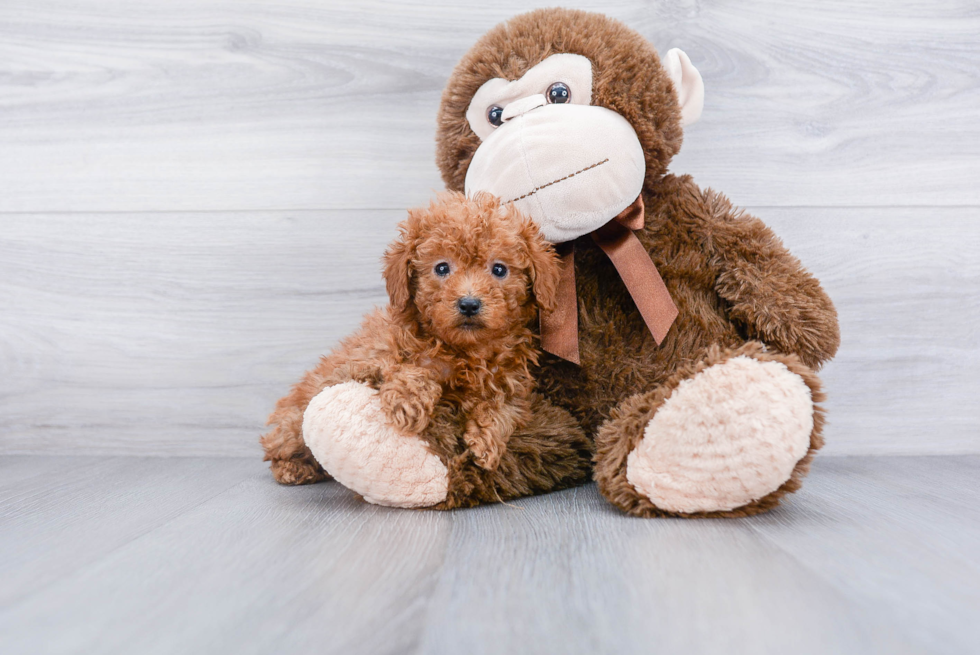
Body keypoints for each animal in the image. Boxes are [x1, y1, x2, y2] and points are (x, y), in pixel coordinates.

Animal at [264, 192, 564, 484]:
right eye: (442, 268)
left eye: (499, 269)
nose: (469, 304)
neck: (465, 351)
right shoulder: (365, 358)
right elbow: (407, 367)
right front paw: (408, 402)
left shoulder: (512, 381)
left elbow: (504, 404)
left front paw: (487, 438)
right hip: (295, 421)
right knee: (278, 445)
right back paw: (295, 468)